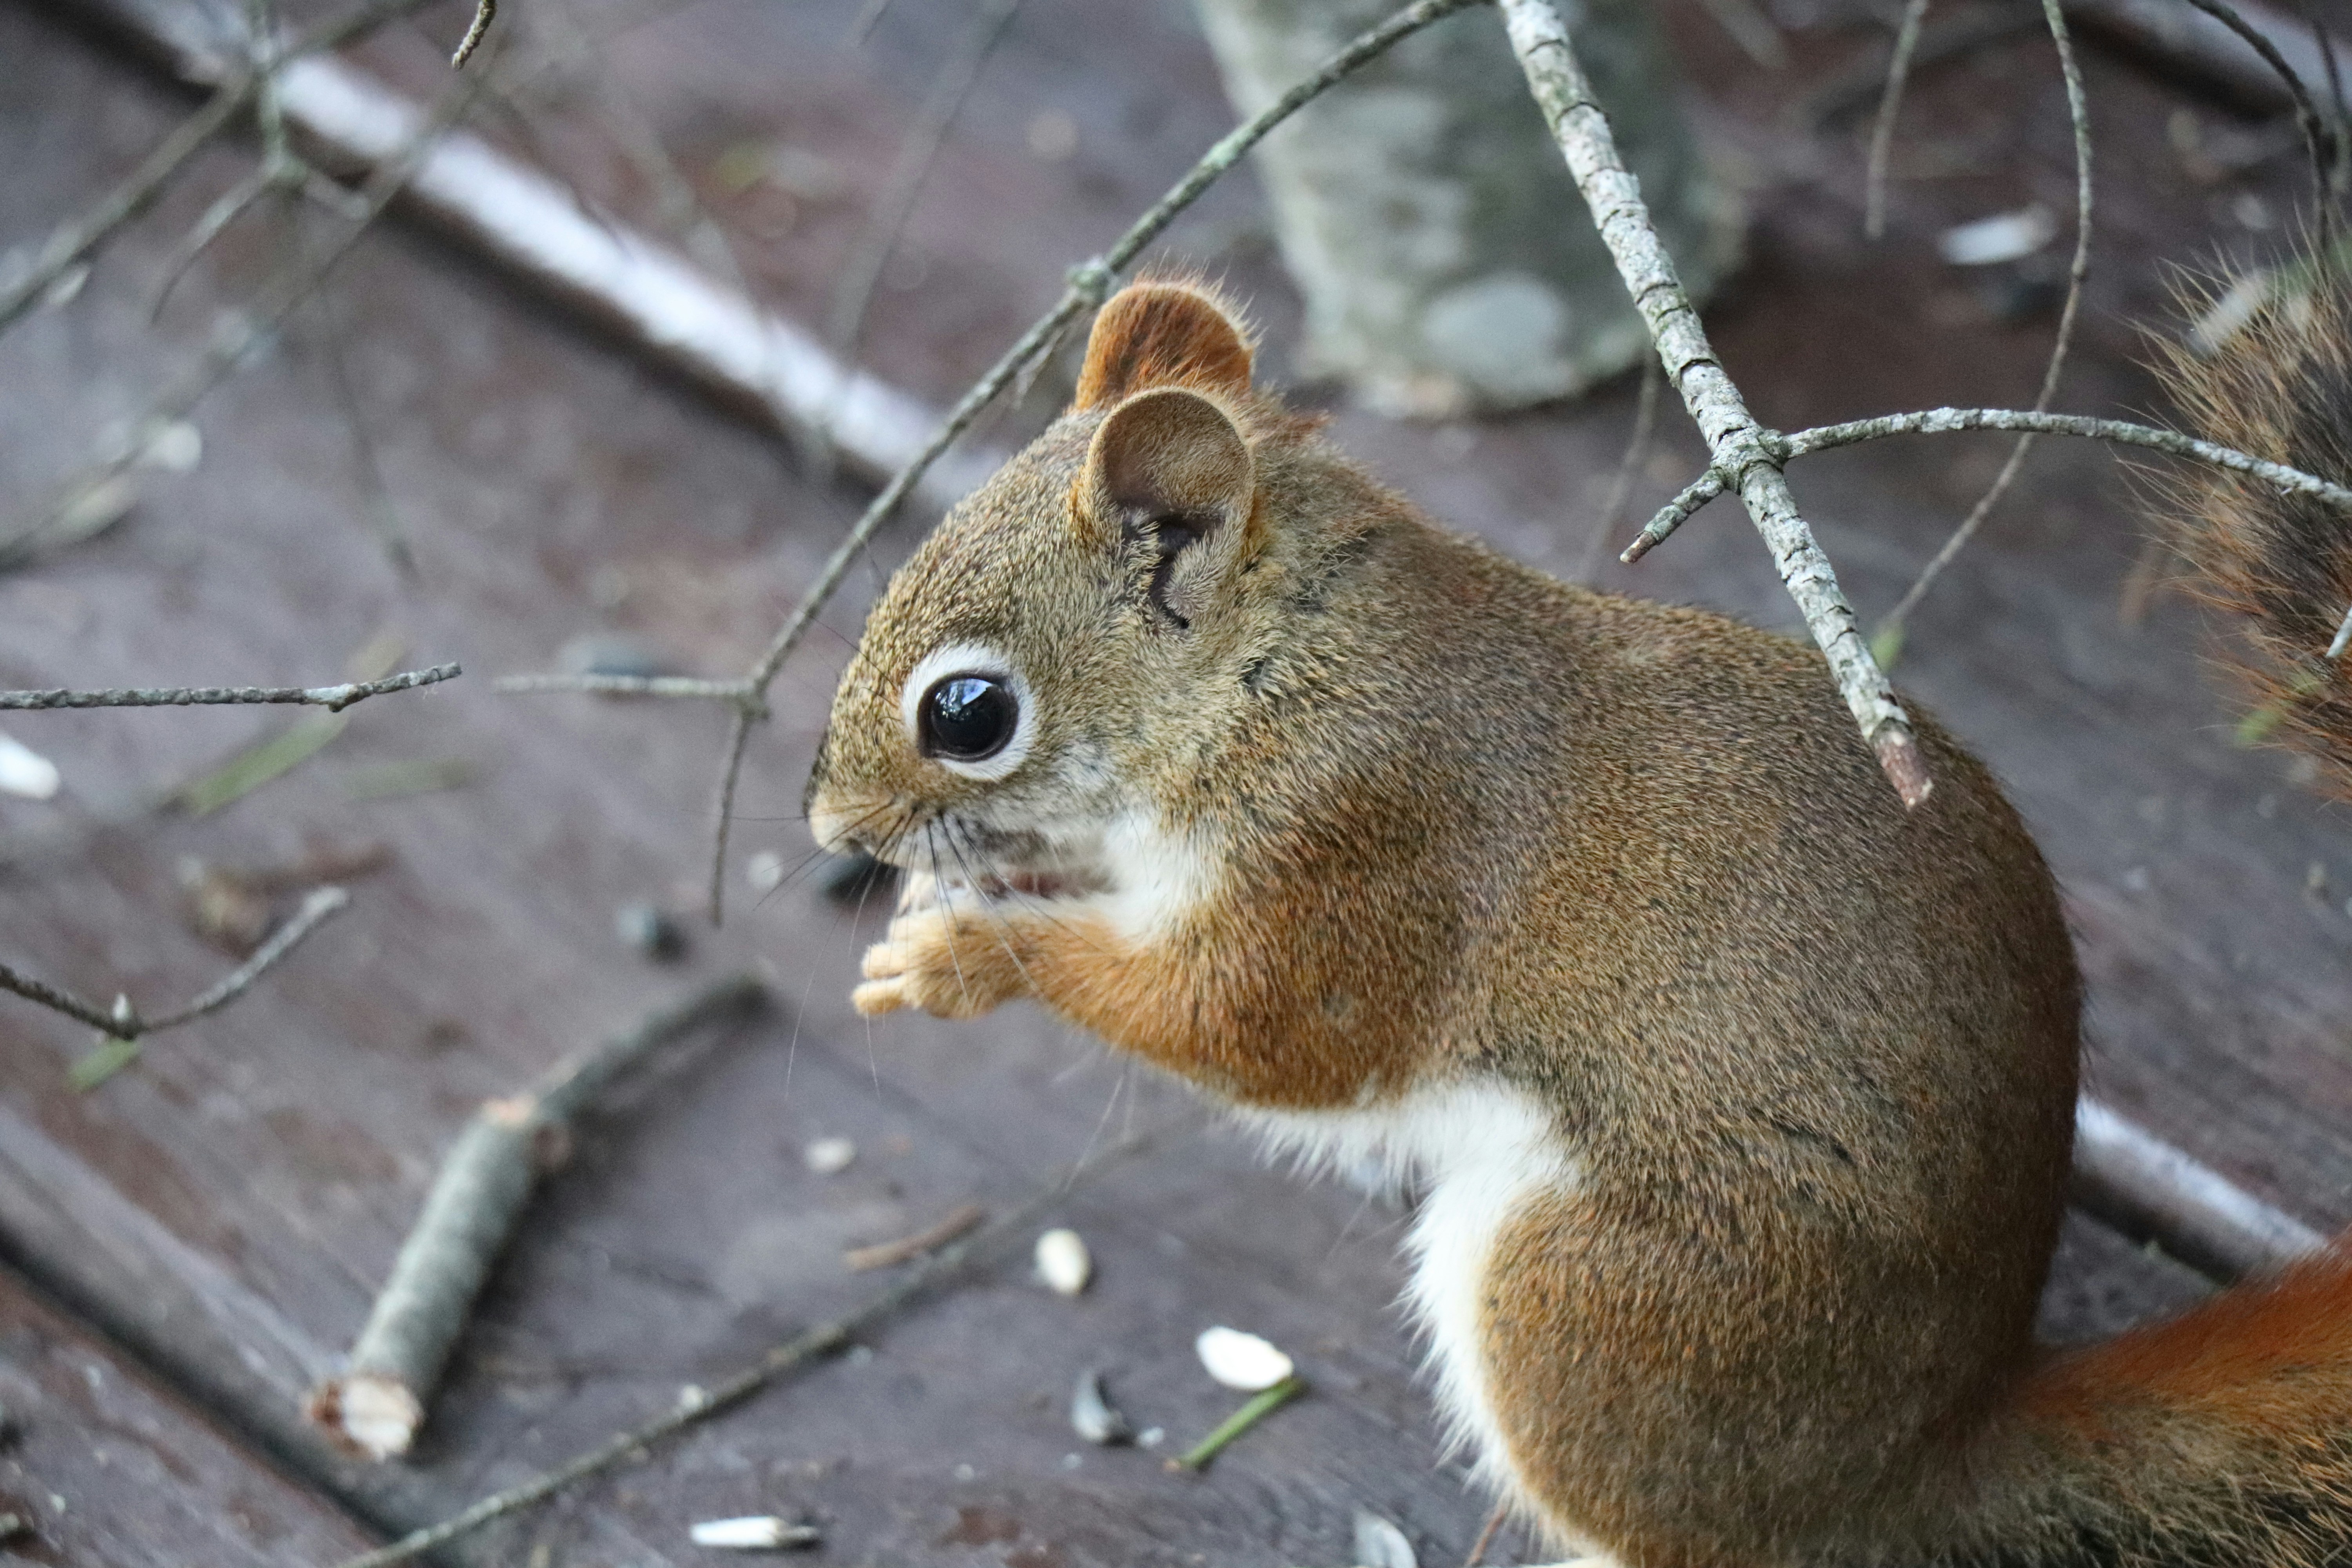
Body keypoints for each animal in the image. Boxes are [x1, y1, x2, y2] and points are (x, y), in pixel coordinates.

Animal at [804, 272, 2352, 1567]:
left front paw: (969, 950)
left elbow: (1253, 1032)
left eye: (968, 710)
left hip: (1592, 1302)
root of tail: (1917, 1460)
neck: (1278, 670)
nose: (828, 826)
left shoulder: (1358, 849)